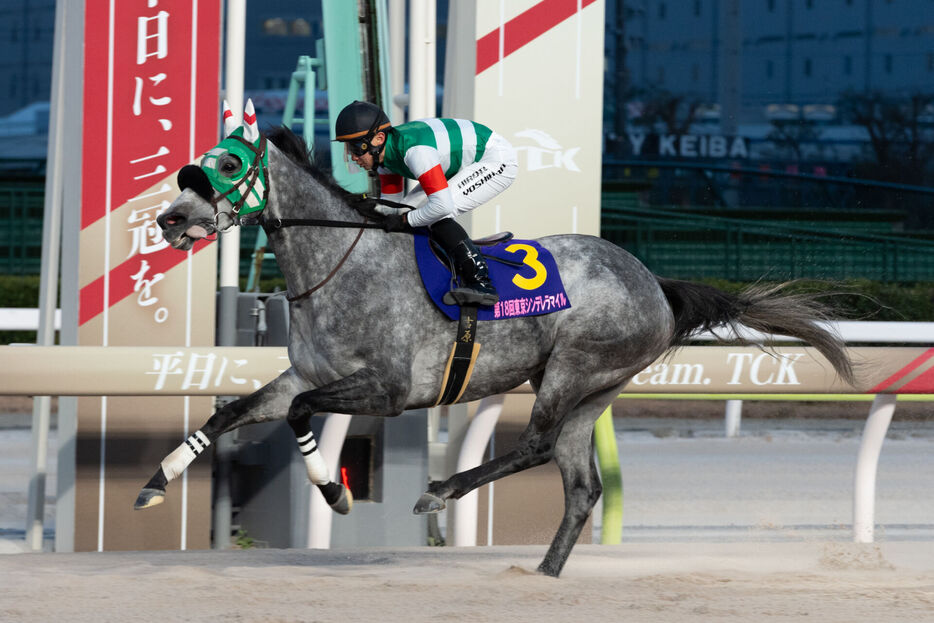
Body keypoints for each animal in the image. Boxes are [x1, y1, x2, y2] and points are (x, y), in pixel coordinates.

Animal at [139, 108, 856, 580]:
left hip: (573, 368)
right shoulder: (305, 373)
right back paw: (543, 574)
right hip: (594, 391)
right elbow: (233, 412)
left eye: (229, 164)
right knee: (582, 486)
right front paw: (154, 484)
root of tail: (654, 280)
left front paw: (334, 491)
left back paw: (442, 489)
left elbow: (298, 415)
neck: (342, 263)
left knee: (536, 445)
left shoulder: (388, 390)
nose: (169, 219)